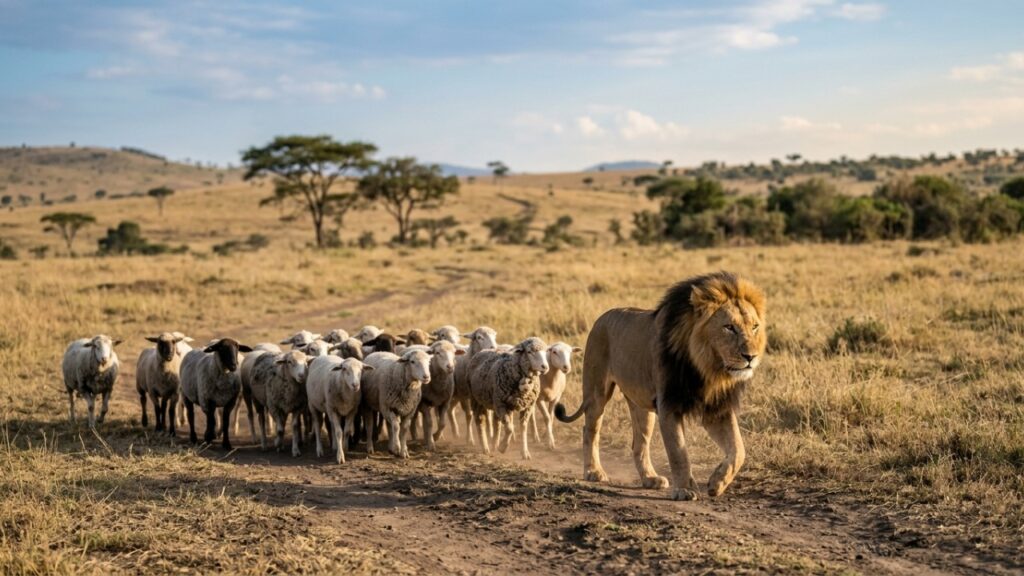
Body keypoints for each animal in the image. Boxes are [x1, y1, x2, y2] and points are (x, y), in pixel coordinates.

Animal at [555, 271, 766, 500]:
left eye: (754, 327)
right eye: (729, 327)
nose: (751, 357)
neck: (708, 369)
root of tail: (602, 317)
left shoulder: (716, 408)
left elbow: (738, 449)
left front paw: (717, 482)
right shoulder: (669, 405)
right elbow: (678, 452)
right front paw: (684, 489)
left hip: (641, 406)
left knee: (638, 443)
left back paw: (650, 478)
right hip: (596, 392)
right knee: (590, 430)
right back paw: (594, 471)